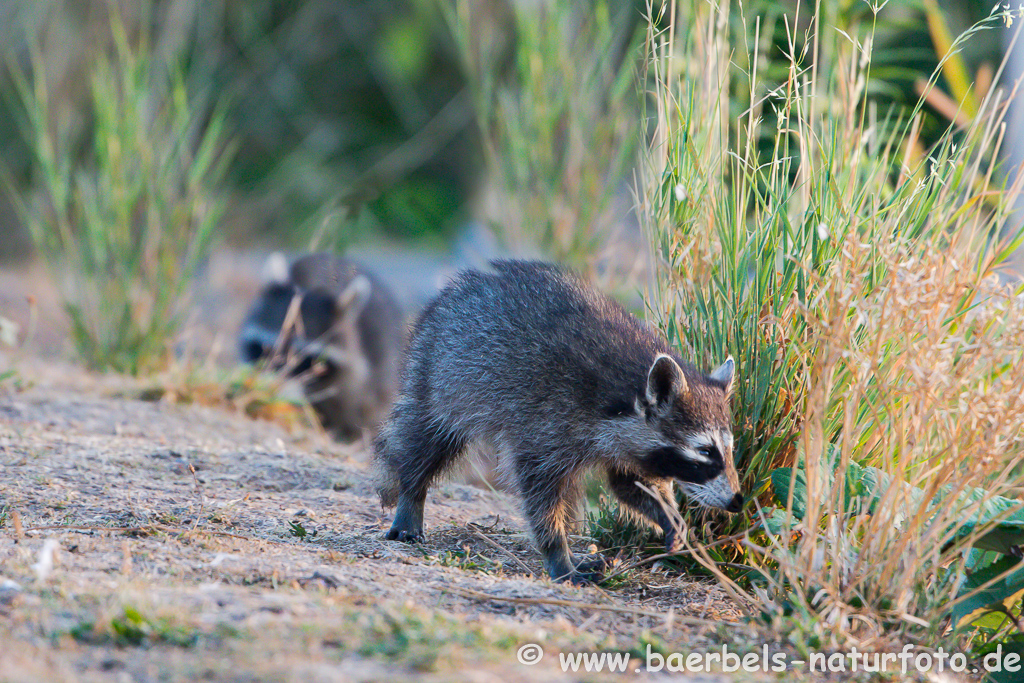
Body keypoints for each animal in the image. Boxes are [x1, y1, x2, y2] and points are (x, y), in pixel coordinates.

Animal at [376, 260, 745, 581]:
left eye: (728, 450)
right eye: (705, 451)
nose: (737, 501)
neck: (629, 388)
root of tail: (455, 289)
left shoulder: (627, 441)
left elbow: (631, 484)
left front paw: (668, 515)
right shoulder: (547, 421)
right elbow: (540, 490)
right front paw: (557, 552)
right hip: (440, 374)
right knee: (426, 441)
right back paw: (411, 494)